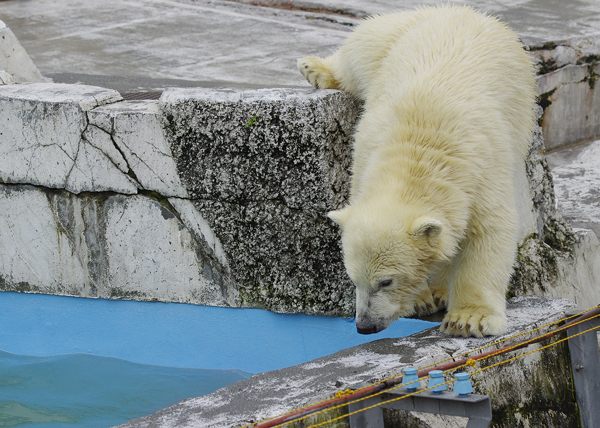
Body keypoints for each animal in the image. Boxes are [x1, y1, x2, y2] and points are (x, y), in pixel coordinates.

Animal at [298, 4, 536, 338]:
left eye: (386, 281)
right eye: (353, 278)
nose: (364, 326)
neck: (418, 155)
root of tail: (463, 10)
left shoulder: (481, 169)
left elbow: (487, 231)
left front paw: (468, 318)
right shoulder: (364, 157)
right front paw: (421, 299)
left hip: (521, 95)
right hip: (395, 36)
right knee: (361, 52)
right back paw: (315, 68)